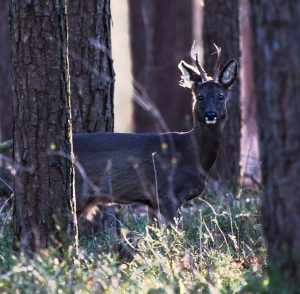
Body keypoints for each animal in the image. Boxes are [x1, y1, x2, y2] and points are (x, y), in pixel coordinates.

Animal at [74, 44, 238, 224]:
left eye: (220, 96)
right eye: (200, 97)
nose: (211, 114)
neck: (190, 153)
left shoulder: (152, 201)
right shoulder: (167, 192)